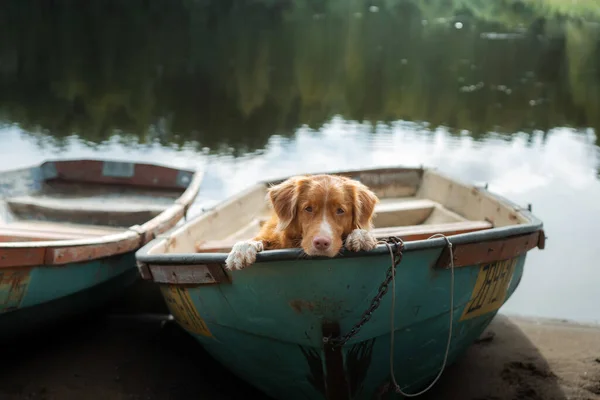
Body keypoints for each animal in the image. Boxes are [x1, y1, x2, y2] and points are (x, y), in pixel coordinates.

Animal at [223, 174, 378, 270]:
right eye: (308, 208)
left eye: (340, 210)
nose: (321, 243)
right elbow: (258, 239)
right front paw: (242, 249)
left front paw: (361, 236)